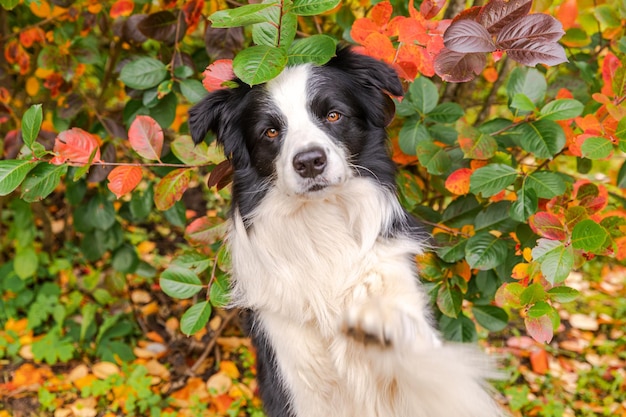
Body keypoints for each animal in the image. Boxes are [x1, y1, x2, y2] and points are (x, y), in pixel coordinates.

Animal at [188, 47, 500, 414]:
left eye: (334, 115)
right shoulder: (293, 375)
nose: (310, 162)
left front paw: (381, 323)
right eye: (270, 132)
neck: (323, 226)